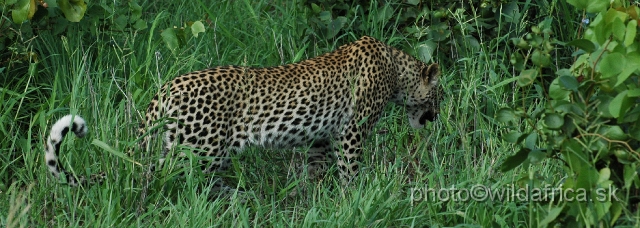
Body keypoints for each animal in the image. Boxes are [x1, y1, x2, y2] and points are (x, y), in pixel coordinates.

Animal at [45, 36, 442, 189]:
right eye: (440, 95)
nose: (437, 117)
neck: (397, 70)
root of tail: (166, 88)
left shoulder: (320, 138)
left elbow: (315, 169)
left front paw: (313, 197)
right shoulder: (352, 130)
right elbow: (350, 168)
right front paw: (352, 194)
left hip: (183, 145)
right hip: (200, 150)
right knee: (162, 178)